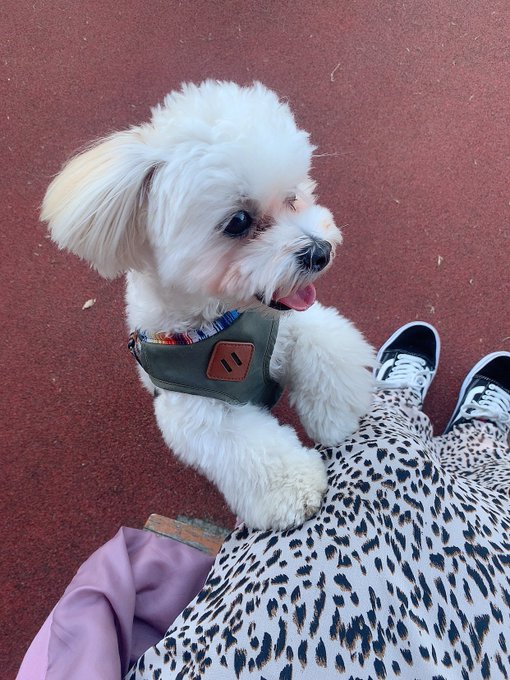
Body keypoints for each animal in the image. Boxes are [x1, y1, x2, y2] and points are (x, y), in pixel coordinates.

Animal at [42, 81, 374, 530]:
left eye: (293, 198)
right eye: (238, 221)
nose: (320, 252)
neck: (218, 323)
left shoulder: (291, 328)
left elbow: (327, 353)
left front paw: (335, 420)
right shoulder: (201, 413)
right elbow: (250, 449)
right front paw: (296, 488)